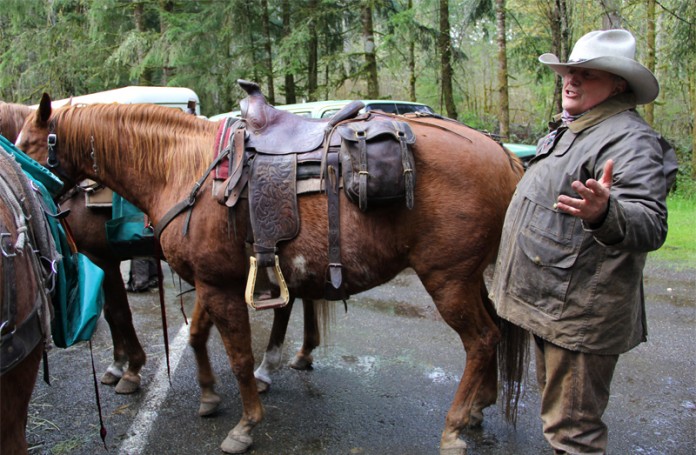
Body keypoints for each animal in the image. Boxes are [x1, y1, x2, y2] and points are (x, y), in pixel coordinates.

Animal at [16, 93, 524, 455]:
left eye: (25, 147)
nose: (27, 201)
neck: (183, 169)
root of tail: (504, 155)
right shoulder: (210, 283)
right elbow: (198, 337)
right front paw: (208, 397)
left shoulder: (217, 285)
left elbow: (238, 356)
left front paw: (244, 425)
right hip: (469, 277)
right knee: (495, 333)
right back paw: (478, 407)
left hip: (448, 280)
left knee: (481, 339)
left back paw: (454, 428)